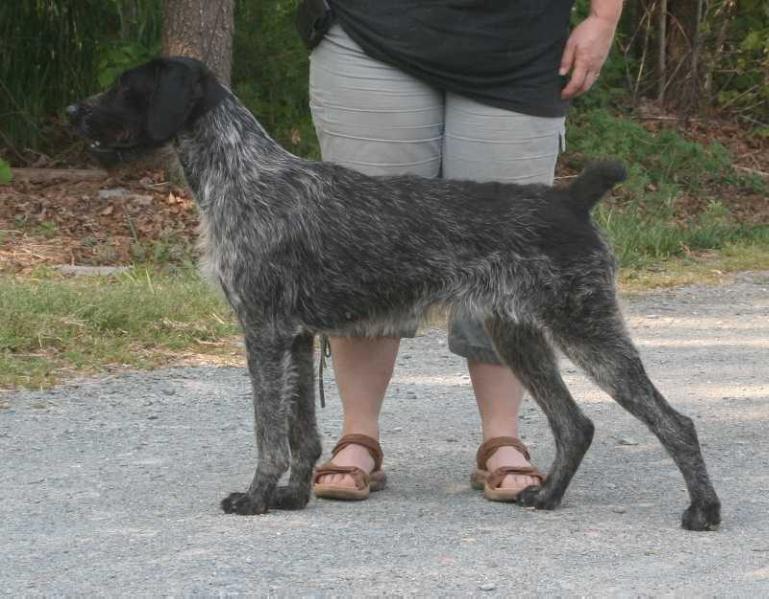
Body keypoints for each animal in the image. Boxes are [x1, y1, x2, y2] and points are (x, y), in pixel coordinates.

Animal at [67, 58, 720, 532]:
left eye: (126, 86)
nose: (73, 109)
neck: (243, 174)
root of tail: (572, 199)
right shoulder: (298, 337)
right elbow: (302, 430)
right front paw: (294, 496)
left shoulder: (264, 332)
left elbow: (268, 432)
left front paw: (255, 497)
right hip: (518, 336)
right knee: (574, 424)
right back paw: (547, 496)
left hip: (586, 330)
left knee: (674, 422)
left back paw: (704, 510)